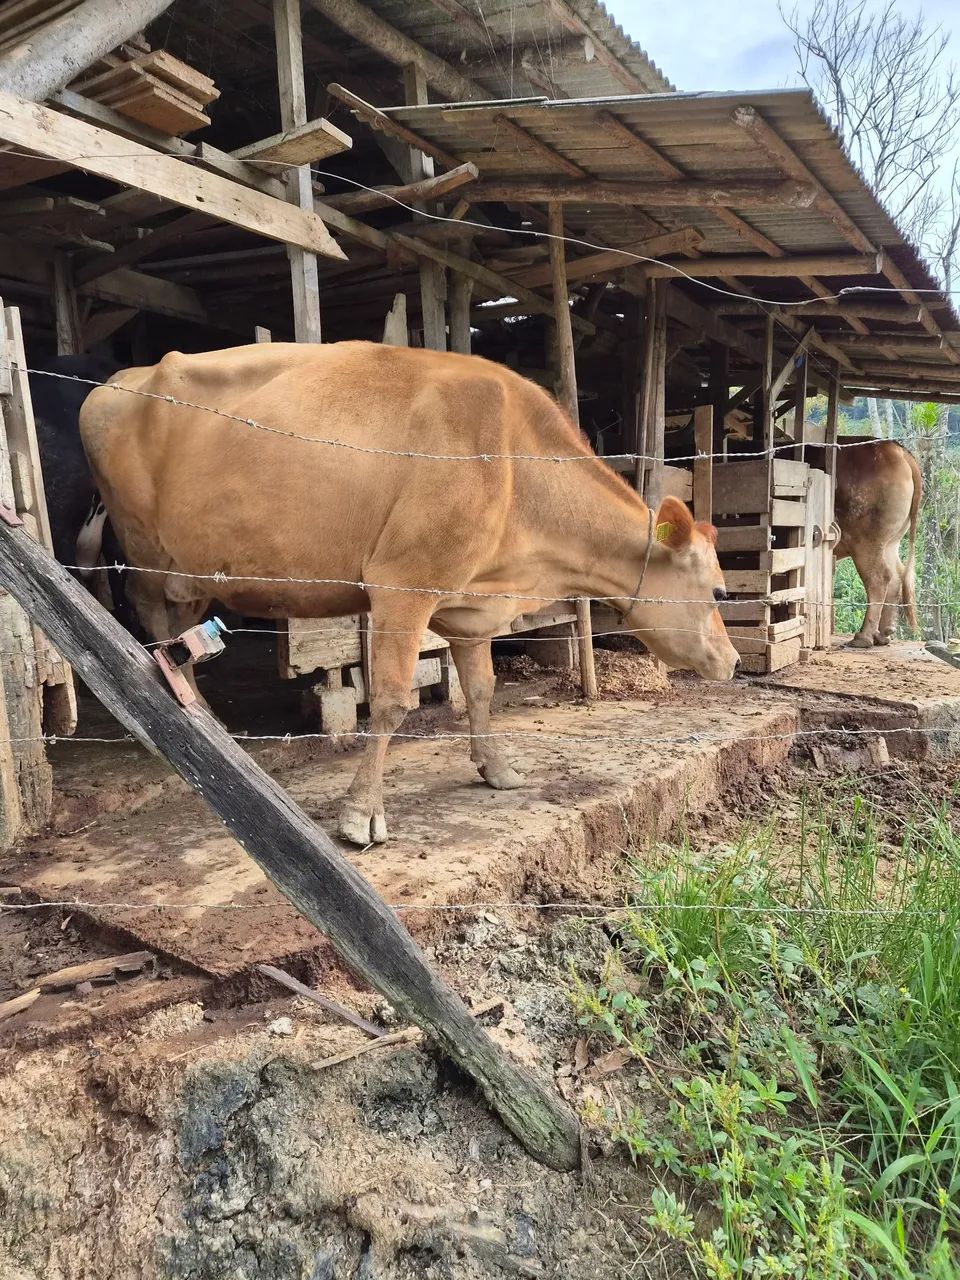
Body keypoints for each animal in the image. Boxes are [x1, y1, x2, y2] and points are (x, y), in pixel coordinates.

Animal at [79, 341, 739, 845]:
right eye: (718, 589)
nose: (733, 660)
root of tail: (119, 378)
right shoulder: (402, 584)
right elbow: (392, 700)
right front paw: (361, 813)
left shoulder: (470, 602)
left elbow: (481, 687)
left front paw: (496, 767)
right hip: (143, 549)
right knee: (151, 615)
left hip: (189, 564)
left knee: (180, 618)